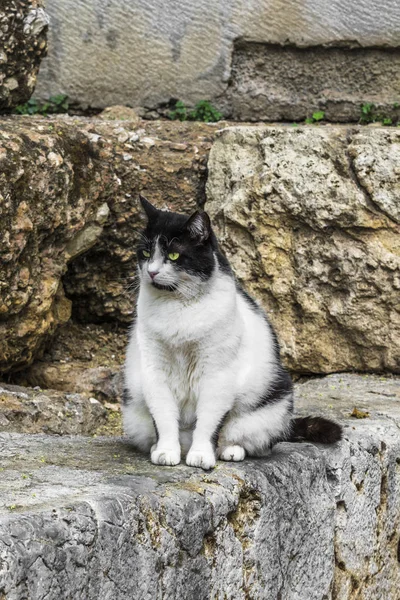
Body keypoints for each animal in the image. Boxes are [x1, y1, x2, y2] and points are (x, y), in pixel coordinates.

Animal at [122, 196, 340, 468]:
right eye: (145, 253)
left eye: (173, 255)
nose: (150, 271)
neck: (178, 306)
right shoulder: (155, 370)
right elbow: (163, 416)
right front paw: (165, 451)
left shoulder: (217, 374)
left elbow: (209, 421)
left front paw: (202, 455)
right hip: (133, 412)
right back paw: (162, 447)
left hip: (270, 403)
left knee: (251, 440)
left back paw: (229, 451)